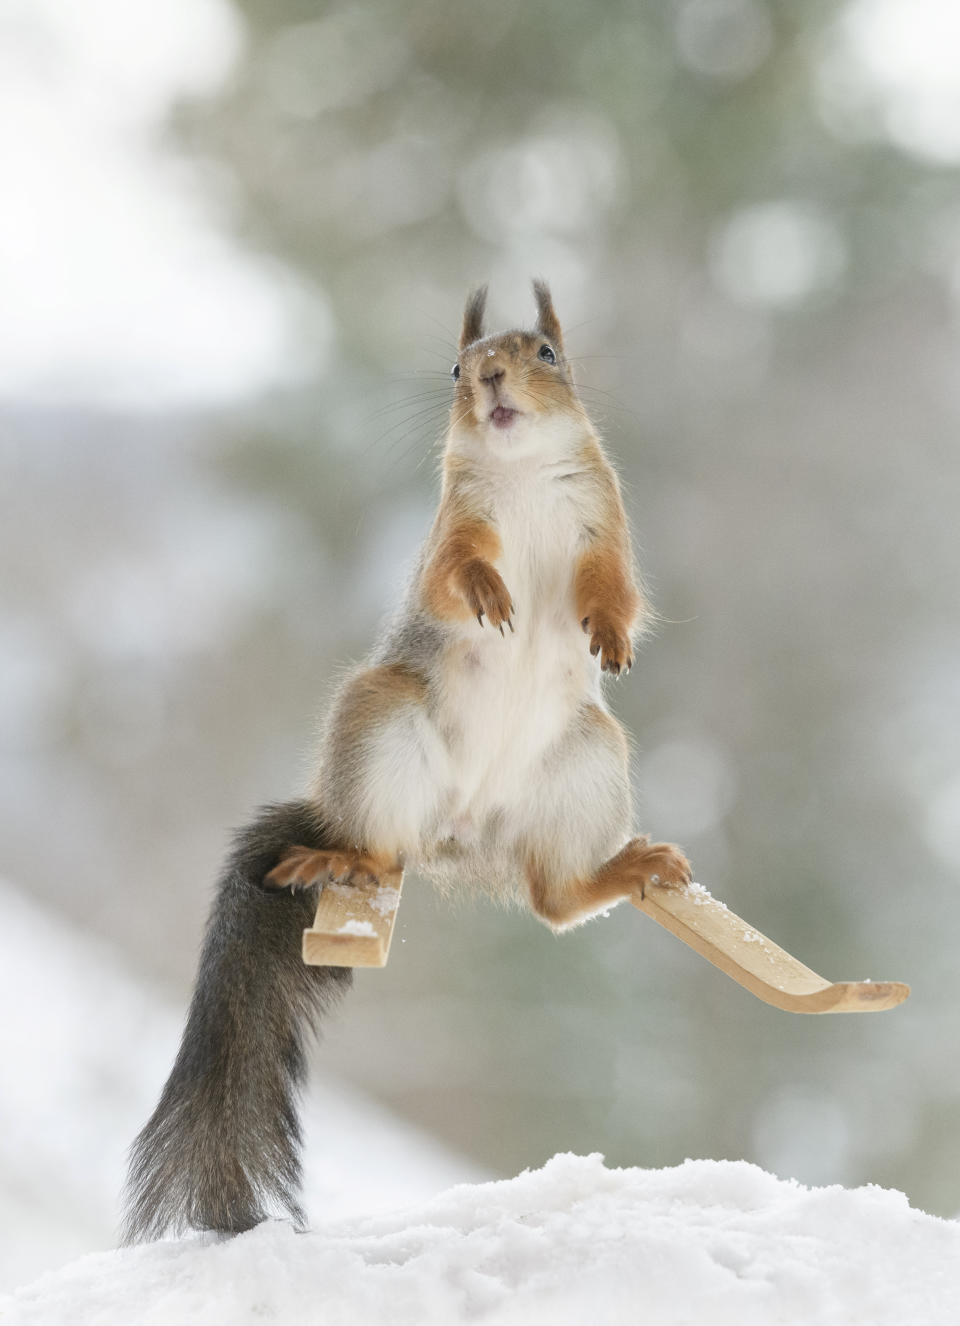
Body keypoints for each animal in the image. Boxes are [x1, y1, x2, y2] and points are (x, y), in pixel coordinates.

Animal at [121, 282, 689, 1241]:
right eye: (457, 367)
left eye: (546, 354)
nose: (491, 378)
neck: (521, 475)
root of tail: (460, 837)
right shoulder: (452, 528)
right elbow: (451, 575)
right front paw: (490, 591)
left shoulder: (604, 523)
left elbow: (617, 586)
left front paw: (609, 633)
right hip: (383, 723)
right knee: (382, 850)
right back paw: (343, 857)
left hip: (588, 761)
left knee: (554, 902)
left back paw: (617, 870)